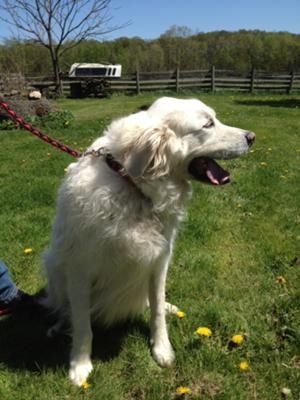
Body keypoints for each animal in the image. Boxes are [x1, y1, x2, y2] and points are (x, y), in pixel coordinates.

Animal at [43, 96, 255, 384]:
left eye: (215, 119)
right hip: (53, 265)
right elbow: (83, 324)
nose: (252, 137)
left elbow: (155, 310)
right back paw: (58, 325)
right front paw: (80, 365)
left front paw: (162, 349)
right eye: (208, 124)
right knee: (65, 307)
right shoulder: (79, 269)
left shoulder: (159, 260)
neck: (132, 184)